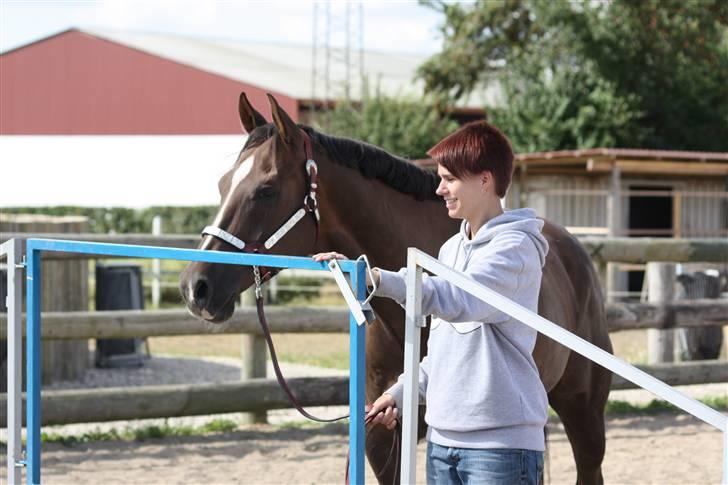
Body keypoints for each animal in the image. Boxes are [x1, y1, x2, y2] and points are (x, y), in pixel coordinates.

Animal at [181, 92, 616, 482]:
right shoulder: (381, 437)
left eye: (266, 190)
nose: (194, 288)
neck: (404, 324)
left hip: (584, 413)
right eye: (222, 184)